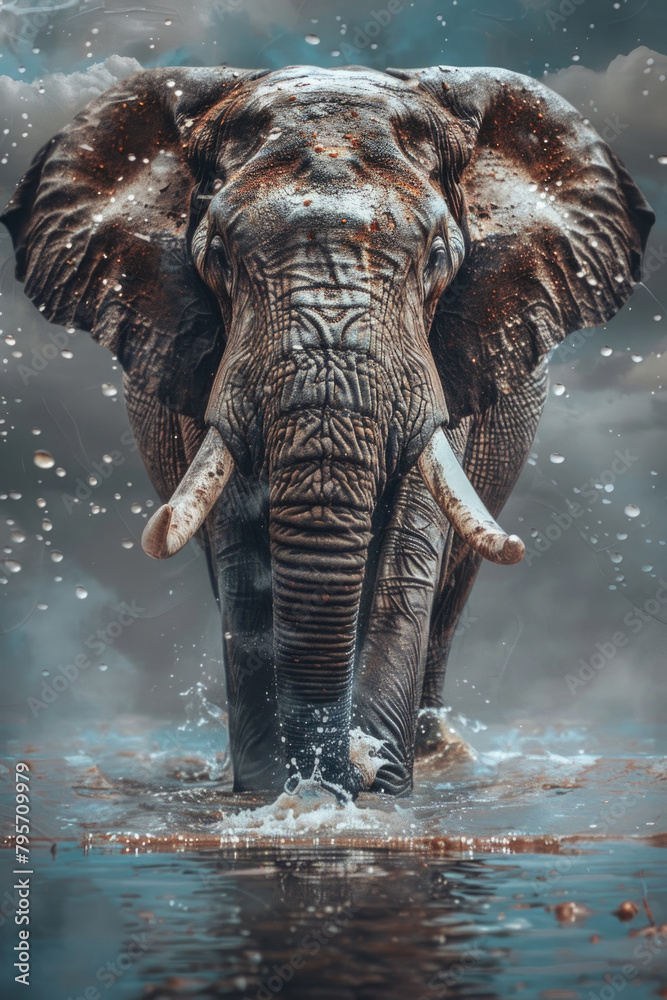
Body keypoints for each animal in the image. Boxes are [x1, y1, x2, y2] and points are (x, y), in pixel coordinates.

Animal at [2, 63, 653, 799]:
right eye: (218, 255)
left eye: (436, 256)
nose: (342, 770)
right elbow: (240, 548)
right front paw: (270, 791)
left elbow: (407, 550)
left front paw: (378, 791)